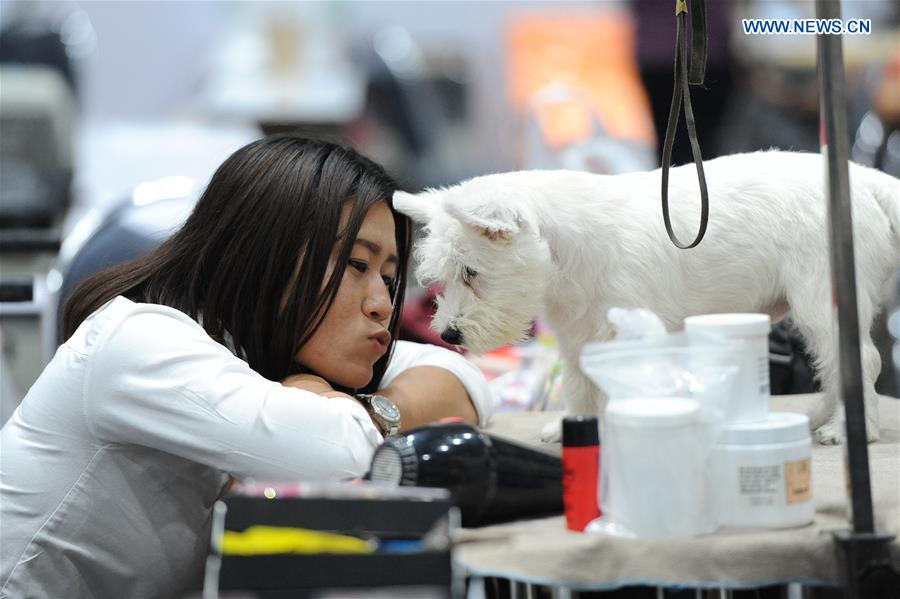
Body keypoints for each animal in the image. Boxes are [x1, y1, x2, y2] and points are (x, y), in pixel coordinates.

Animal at [396, 151, 900, 446]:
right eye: (441, 279)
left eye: (471, 272)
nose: (449, 333)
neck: (563, 253)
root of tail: (863, 182)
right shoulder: (577, 335)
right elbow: (580, 386)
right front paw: (573, 427)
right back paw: (825, 416)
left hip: (822, 297)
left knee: (861, 359)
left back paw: (849, 429)